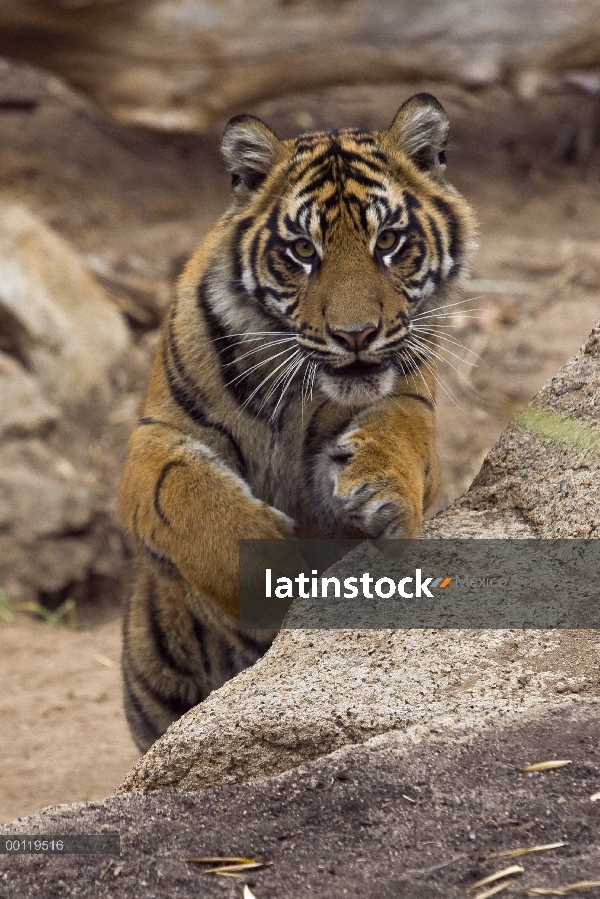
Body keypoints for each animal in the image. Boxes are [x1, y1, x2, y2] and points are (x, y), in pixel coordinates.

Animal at [120, 93, 478, 752]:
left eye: (389, 241)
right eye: (304, 251)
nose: (356, 335)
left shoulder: (411, 402)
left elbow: (401, 437)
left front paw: (384, 499)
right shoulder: (157, 439)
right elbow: (189, 502)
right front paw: (274, 574)